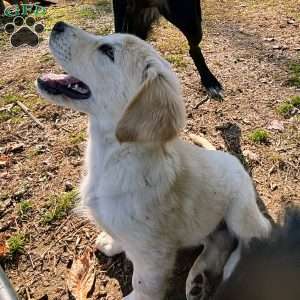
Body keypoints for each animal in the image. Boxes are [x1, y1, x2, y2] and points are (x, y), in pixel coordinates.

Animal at [37, 22, 272, 298]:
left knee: (257, 234)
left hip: (240, 211)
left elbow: (143, 284)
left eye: (107, 51)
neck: (113, 157)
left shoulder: (153, 254)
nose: (57, 25)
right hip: (202, 226)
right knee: (220, 240)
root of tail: (233, 159)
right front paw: (111, 241)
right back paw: (197, 279)